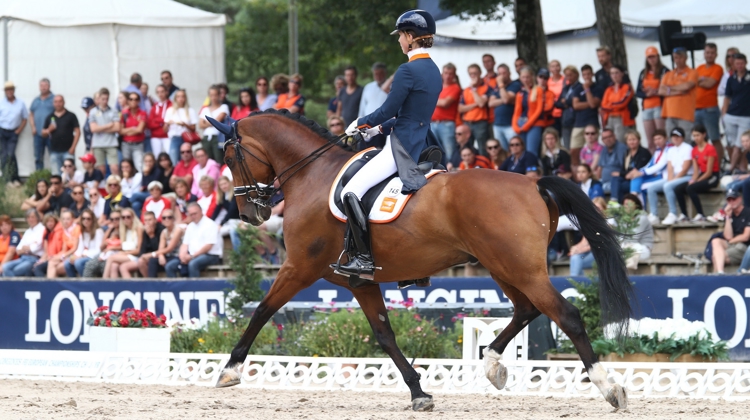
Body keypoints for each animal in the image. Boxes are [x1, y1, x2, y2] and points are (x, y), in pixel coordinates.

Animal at [210, 110, 636, 412]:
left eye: (229, 156)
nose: (250, 214)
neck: (313, 175)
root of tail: (533, 183)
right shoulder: (359, 281)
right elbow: (384, 334)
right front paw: (418, 392)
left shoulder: (298, 266)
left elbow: (261, 310)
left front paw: (229, 371)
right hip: (503, 266)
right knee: (527, 309)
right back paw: (493, 364)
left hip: (519, 268)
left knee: (566, 315)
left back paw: (610, 387)